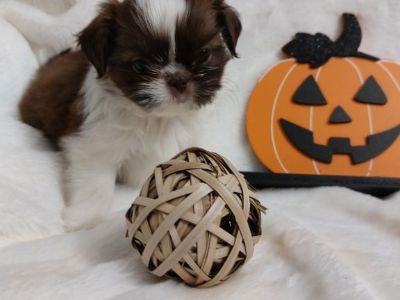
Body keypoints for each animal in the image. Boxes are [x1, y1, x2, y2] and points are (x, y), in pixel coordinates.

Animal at [16, 0, 241, 229]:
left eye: (204, 54)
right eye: (140, 66)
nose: (178, 79)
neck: (158, 119)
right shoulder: (93, 145)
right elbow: (96, 182)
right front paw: (87, 219)